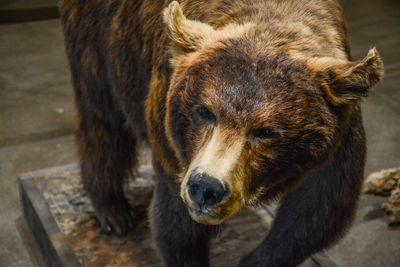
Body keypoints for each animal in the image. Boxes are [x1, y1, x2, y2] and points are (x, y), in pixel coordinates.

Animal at [58, 0, 382, 266]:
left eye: (266, 131)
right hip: (99, 44)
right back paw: (114, 212)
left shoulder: (338, 139)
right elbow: (177, 227)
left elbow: (316, 215)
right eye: (205, 111)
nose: (206, 187)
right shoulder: (174, 144)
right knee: (102, 121)